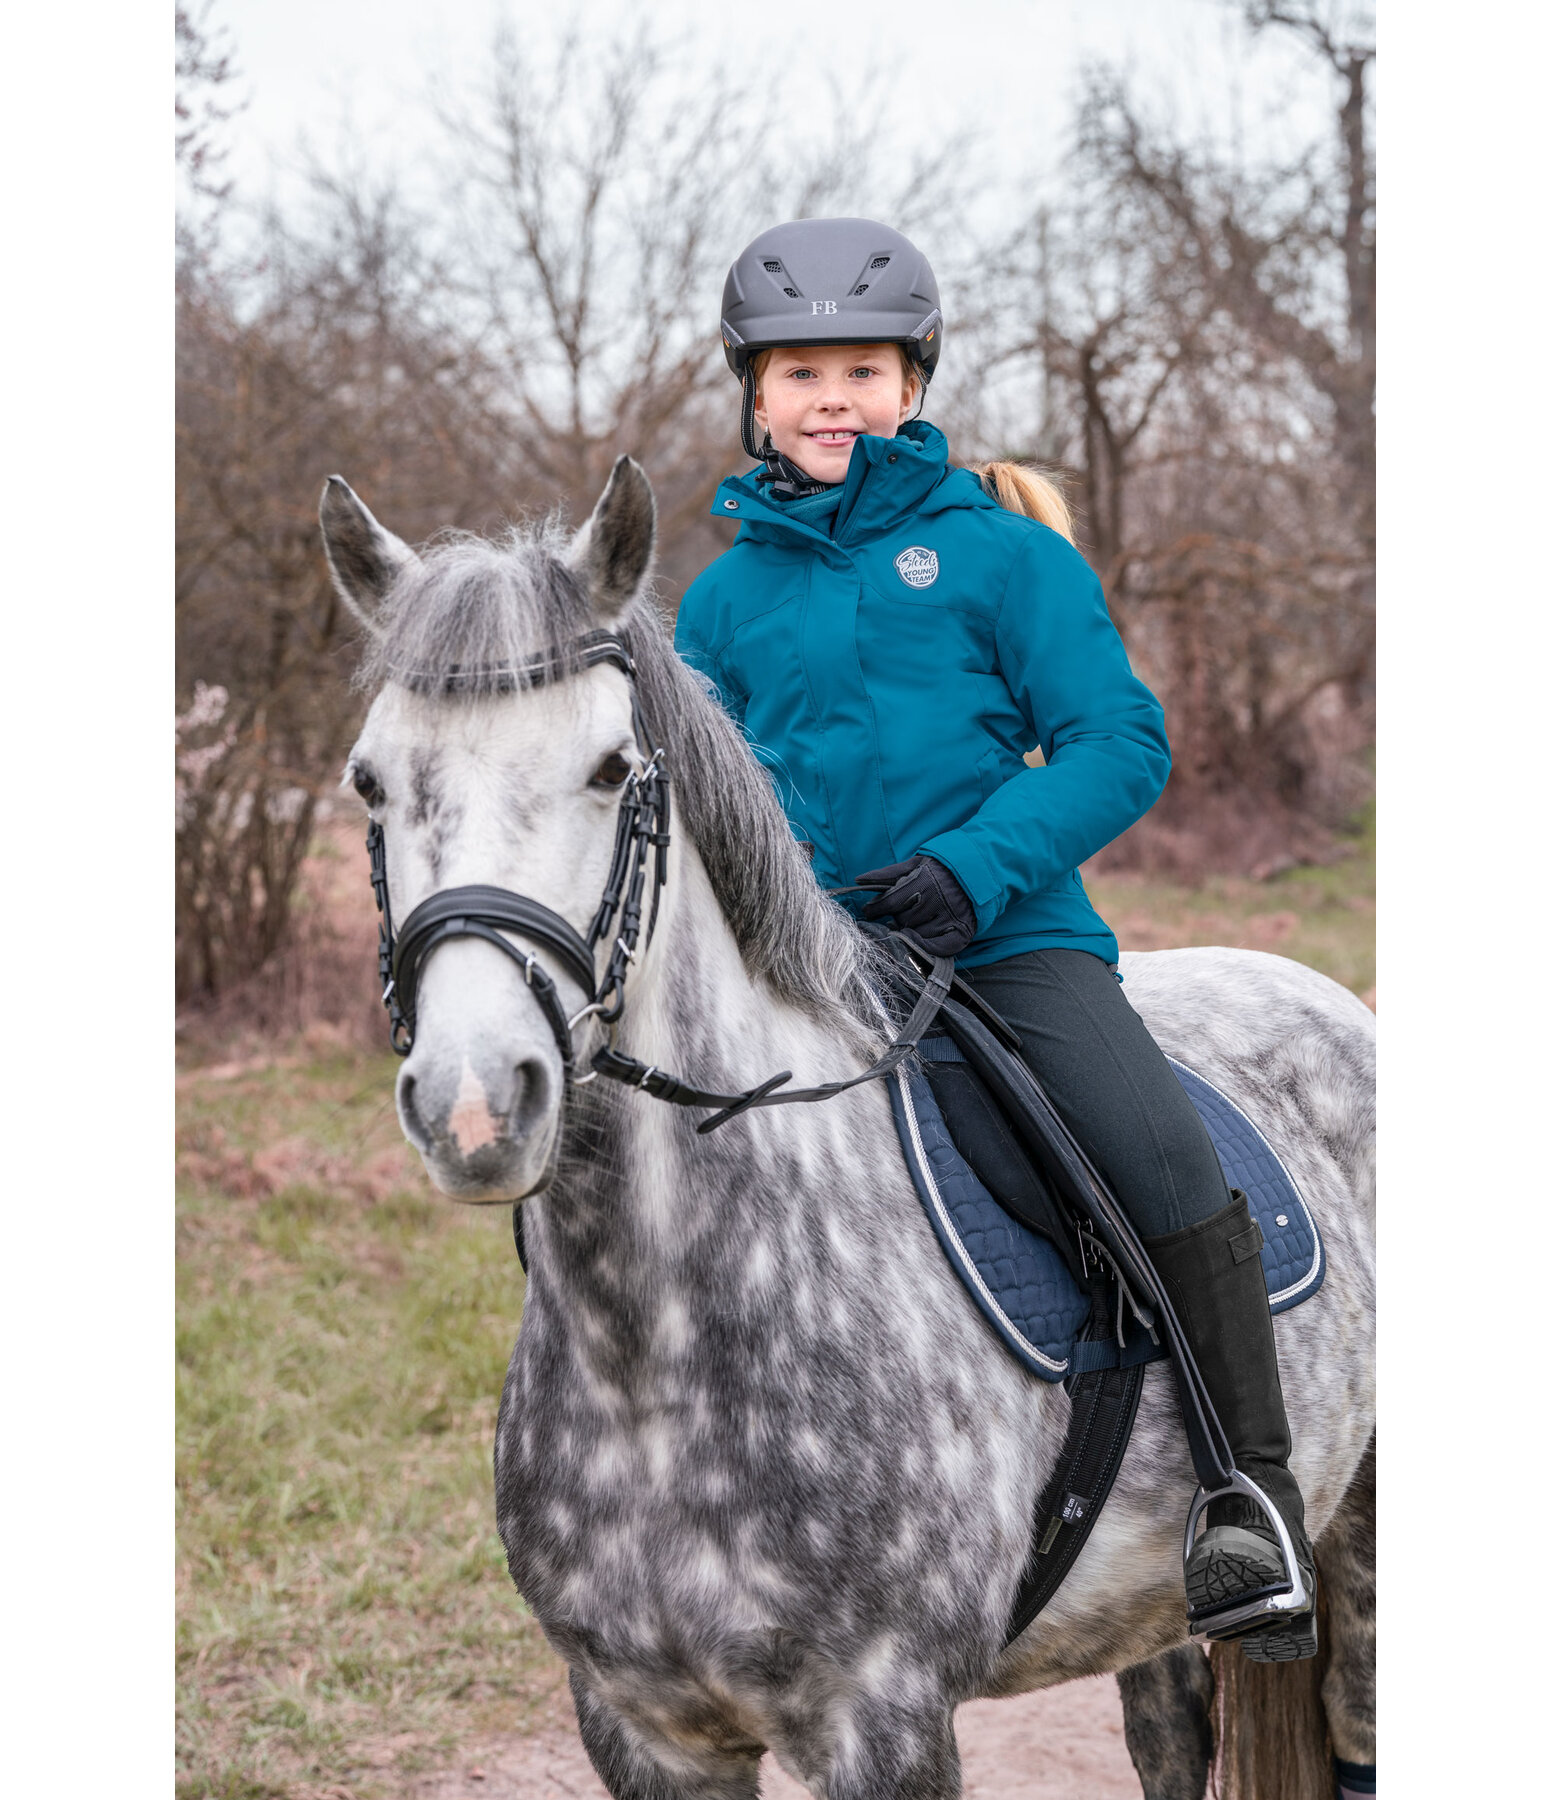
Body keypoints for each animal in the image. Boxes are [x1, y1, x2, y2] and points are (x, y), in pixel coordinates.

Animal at [324, 457, 1368, 1792]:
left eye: (609, 769)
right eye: (370, 779)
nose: (472, 1101)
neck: (652, 1353)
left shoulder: (884, 1720)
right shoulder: (639, 1729)